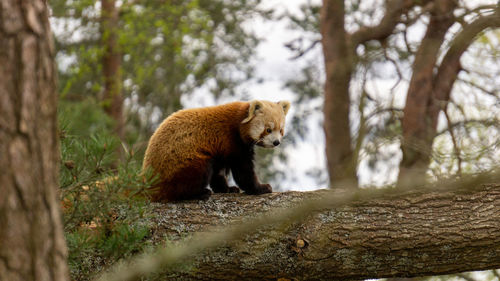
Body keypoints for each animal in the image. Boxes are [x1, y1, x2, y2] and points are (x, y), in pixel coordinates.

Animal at [142, 100, 290, 201]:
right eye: (268, 130)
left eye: (280, 130)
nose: (276, 142)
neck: (238, 122)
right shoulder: (232, 141)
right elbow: (243, 171)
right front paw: (260, 188)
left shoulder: (220, 149)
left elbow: (218, 172)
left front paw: (227, 189)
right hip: (182, 161)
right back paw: (198, 193)